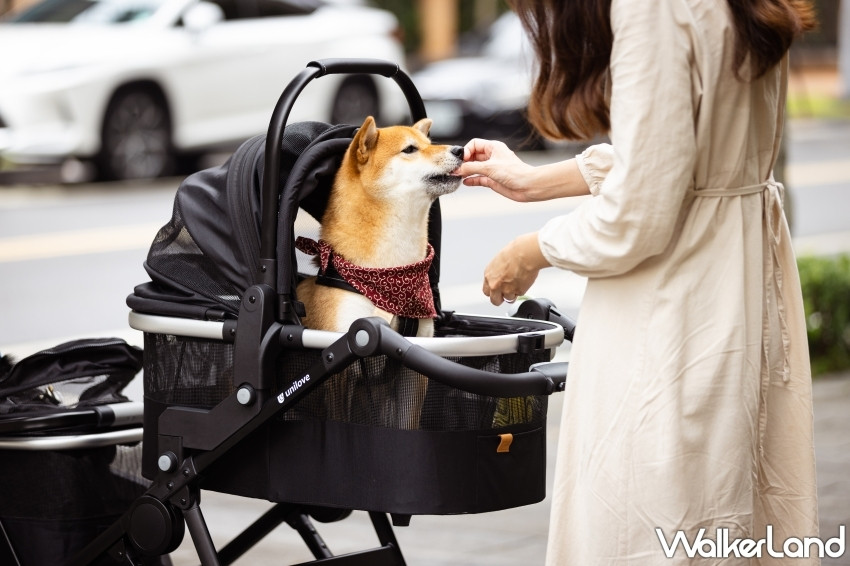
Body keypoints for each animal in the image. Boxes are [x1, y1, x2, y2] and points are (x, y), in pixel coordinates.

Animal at [294, 117, 460, 430]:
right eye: (410, 149)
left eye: (430, 143)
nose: (460, 149)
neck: (390, 273)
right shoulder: (337, 365)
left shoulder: (414, 365)